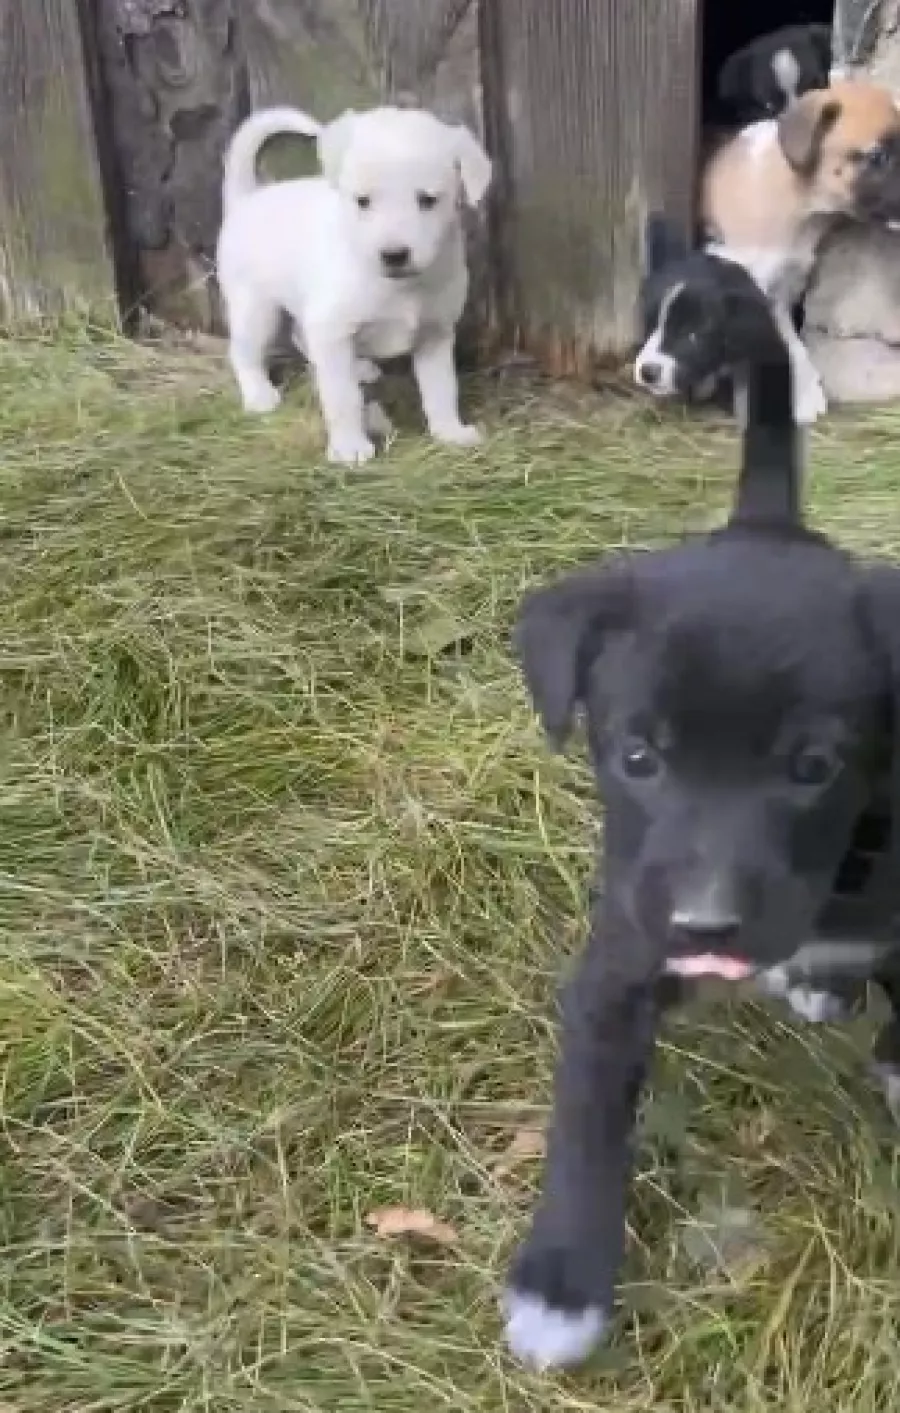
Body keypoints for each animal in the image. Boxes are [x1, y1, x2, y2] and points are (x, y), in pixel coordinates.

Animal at [216, 104, 492, 465]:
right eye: (363, 201)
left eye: (428, 200)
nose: (394, 255)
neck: (397, 287)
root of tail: (247, 198)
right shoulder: (332, 331)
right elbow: (342, 397)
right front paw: (349, 446)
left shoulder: (435, 334)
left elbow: (442, 389)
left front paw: (450, 431)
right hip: (257, 310)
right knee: (244, 352)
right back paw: (259, 394)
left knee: (301, 337)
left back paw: (358, 367)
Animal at [503, 257, 900, 1371]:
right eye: (638, 758)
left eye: (814, 768)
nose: (709, 927)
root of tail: (767, 526)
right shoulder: (618, 963)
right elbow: (587, 1121)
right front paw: (559, 1283)